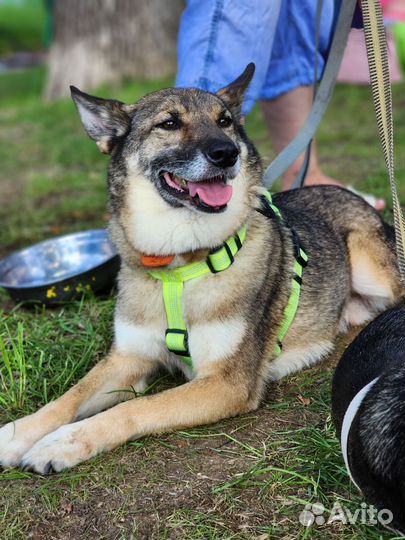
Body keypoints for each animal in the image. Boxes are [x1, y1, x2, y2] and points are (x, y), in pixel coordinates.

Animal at [0, 64, 400, 472]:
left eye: (225, 121)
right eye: (169, 123)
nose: (227, 153)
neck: (179, 267)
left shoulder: (226, 383)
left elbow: (135, 407)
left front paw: (62, 443)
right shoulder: (128, 358)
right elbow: (71, 396)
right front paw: (15, 434)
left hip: (369, 263)